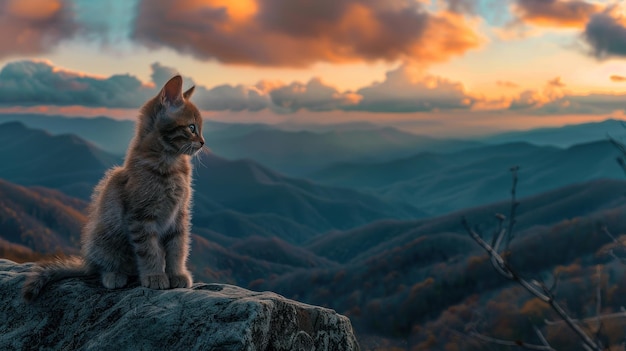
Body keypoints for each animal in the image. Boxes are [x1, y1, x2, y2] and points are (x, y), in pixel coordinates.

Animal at [22, 75, 205, 302]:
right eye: (192, 128)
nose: (203, 142)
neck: (171, 166)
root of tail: (87, 261)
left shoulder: (180, 216)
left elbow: (177, 247)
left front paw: (177, 274)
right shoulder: (140, 218)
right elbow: (150, 250)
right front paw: (154, 275)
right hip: (107, 238)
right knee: (102, 267)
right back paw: (114, 274)